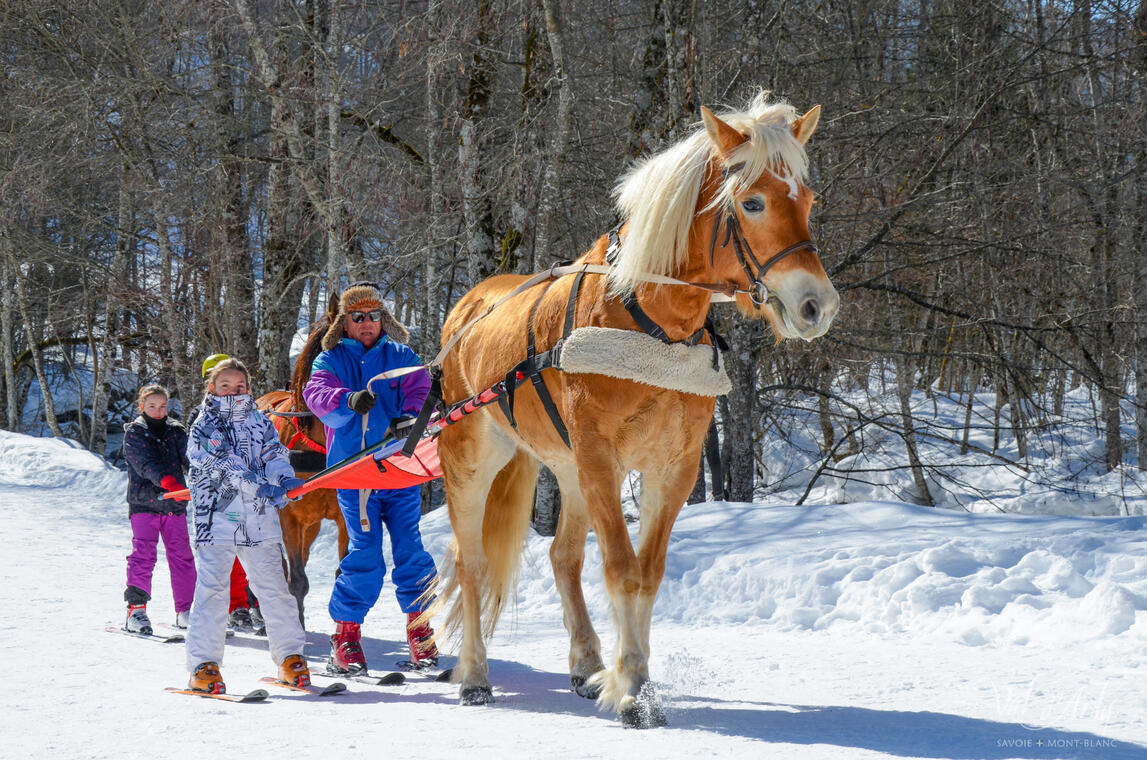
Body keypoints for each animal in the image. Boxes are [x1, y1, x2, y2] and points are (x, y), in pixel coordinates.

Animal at [431, 92, 844, 729]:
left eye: (807, 200)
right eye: (752, 202)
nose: (816, 305)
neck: (648, 321)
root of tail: (468, 308)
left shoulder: (672, 466)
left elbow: (646, 574)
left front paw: (635, 680)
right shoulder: (602, 458)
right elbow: (622, 570)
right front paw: (629, 690)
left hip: (568, 469)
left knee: (563, 558)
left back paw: (585, 663)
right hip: (473, 459)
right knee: (471, 564)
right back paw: (474, 675)